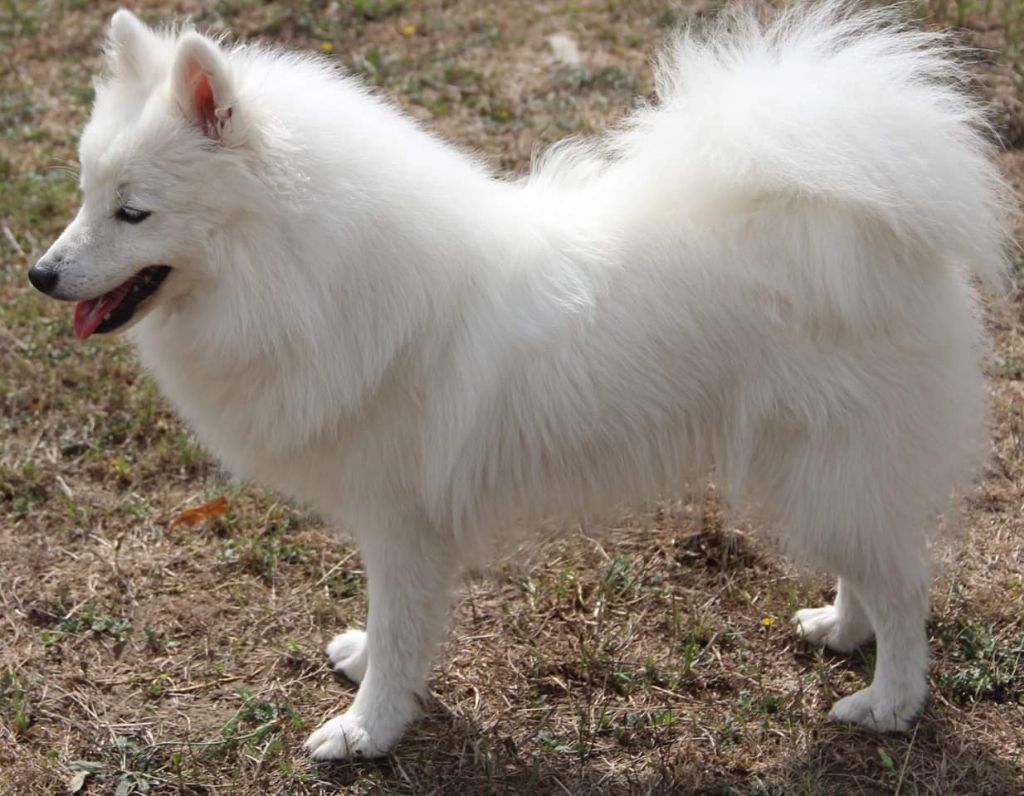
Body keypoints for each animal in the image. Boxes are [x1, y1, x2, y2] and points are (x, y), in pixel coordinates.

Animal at [29, 2, 1011, 759]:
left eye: (133, 212)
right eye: (83, 194)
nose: (40, 274)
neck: (301, 265)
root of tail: (877, 218)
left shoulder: (402, 521)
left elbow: (402, 629)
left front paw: (366, 731)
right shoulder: (398, 526)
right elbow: (395, 629)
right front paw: (369, 673)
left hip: (829, 463)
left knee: (907, 584)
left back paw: (889, 702)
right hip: (823, 472)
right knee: (874, 564)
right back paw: (842, 631)